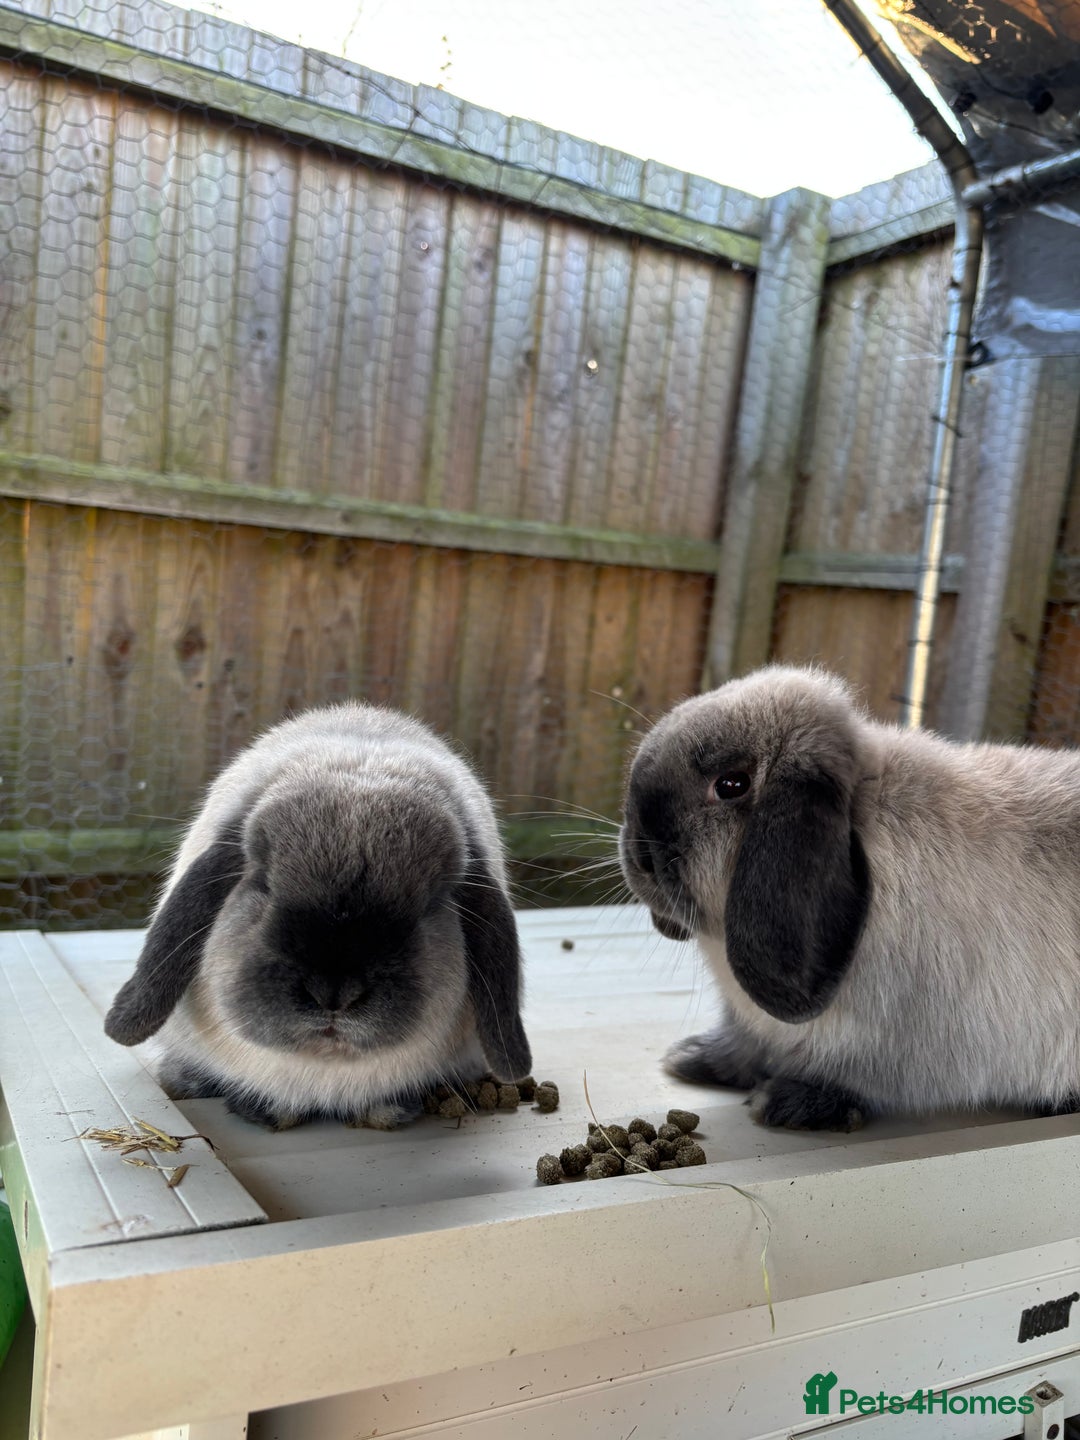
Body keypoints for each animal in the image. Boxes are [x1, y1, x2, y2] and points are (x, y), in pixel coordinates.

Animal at [619, 664, 1080, 1132]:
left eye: (731, 784)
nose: (640, 856)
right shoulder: (750, 1027)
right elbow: (742, 1047)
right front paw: (694, 1057)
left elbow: (859, 1082)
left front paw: (789, 1101)